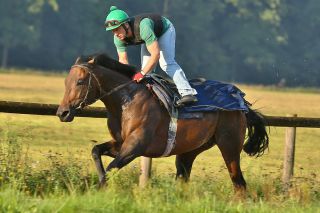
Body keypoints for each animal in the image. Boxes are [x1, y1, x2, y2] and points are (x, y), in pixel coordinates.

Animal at [57, 53, 268, 193]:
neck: (126, 100)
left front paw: (99, 189)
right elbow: (96, 152)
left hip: (229, 146)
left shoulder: (135, 146)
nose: (62, 112)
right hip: (190, 150)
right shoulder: (120, 143)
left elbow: (111, 168)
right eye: (66, 82)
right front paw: (101, 183)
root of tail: (241, 102)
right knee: (183, 178)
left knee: (239, 183)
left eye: (80, 82)